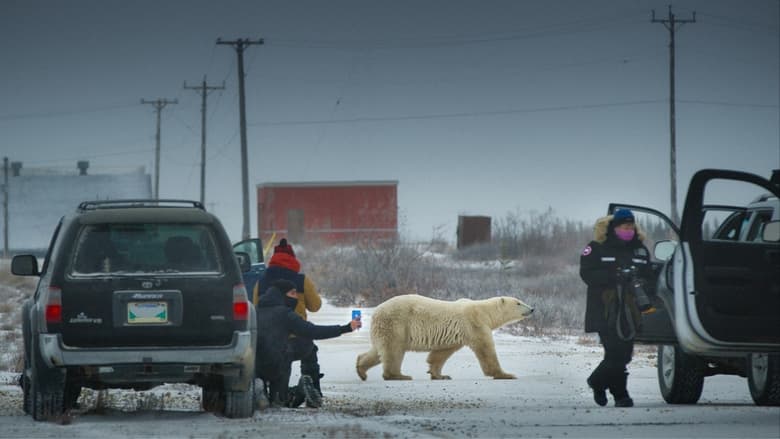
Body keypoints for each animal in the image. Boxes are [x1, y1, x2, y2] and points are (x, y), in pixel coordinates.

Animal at [356, 294, 534, 381]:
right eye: (518, 302)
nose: (532, 309)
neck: (484, 312)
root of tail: (376, 312)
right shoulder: (475, 325)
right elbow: (486, 350)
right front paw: (506, 374)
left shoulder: (456, 334)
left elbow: (441, 353)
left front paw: (440, 375)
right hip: (396, 323)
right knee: (394, 350)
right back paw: (398, 376)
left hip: (384, 328)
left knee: (378, 351)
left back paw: (361, 370)